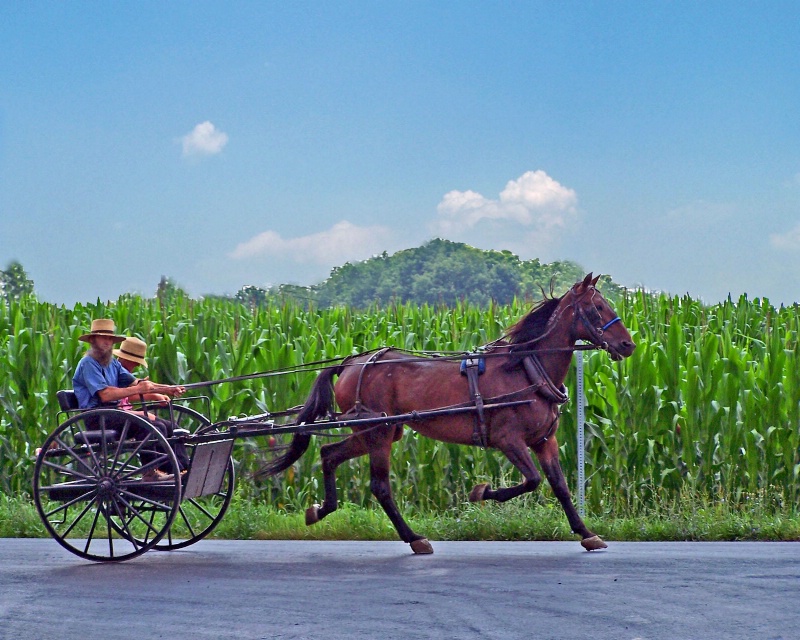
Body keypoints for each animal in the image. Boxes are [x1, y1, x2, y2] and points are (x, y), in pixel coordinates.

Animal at [266, 272, 636, 552]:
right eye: (597, 307)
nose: (629, 345)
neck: (528, 369)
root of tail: (351, 363)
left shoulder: (544, 440)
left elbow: (559, 485)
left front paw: (586, 533)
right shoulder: (508, 439)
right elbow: (531, 480)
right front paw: (482, 492)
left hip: (374, 432)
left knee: (329, 454)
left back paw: (321, 510)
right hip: (378, 433)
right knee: (380, 486)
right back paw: (414, 538)